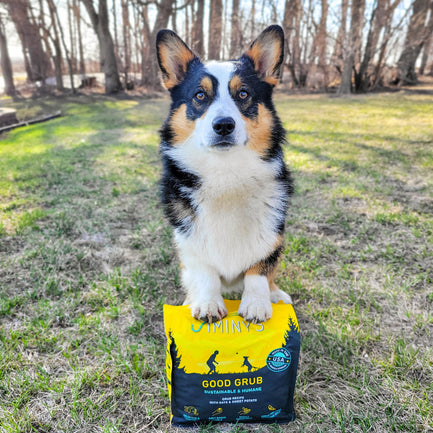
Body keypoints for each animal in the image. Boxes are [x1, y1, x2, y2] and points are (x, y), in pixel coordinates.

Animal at [157, 23, 292, 320]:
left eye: (243, 94)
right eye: (200, 95)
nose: (223, 125)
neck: (227, 173)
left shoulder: (272, 238)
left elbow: (260, 270)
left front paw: (256, 302)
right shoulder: (189, 242)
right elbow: (204, 272)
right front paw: (207, 303)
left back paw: (275, 294)